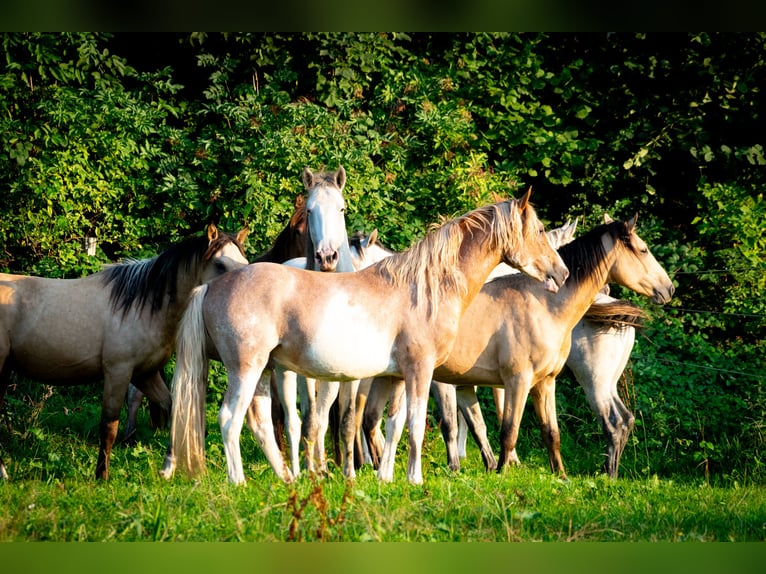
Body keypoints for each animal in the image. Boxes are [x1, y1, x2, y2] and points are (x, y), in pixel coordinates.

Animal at [0, 225, 248, 482]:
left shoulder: (145, 374)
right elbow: (109, 426)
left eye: (244, 261)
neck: (141, 305)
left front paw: (167, 468)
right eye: (220, 264)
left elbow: (172, 408)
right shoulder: (118, 373)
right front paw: (102, 476)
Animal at [165, 192, 568, 486]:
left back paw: (286, 478)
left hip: (265, 371)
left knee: (261, 422)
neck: (423, 288)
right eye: (539, 231)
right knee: (229, 420)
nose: (562, 273)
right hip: (246, 369)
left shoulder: (396, 377)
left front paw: (386, 477)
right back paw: (239, 482)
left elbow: (392, 425)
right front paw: (415, 479)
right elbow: (416, 424)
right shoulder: (420, 371)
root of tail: (212, 285)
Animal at [364, 214, 676, 480]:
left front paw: (559, 476)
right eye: (643, 250)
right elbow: (506, 430)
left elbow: (548, 432)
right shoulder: (516, 381)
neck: (544, 305)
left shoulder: (543, 382)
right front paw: (501, 472)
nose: (669, 289)